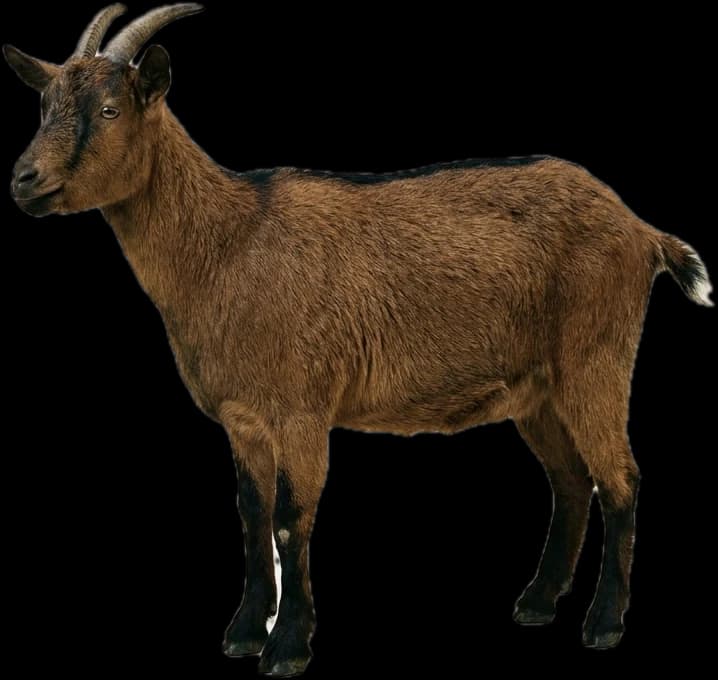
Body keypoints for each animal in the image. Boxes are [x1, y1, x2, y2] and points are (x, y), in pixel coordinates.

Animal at [4, 3, 713, 676]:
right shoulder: (243, 418)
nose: (23, 180)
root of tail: (641, 230)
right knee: (570, 480)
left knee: (620, 478)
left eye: (109, 109)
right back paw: (538, 603)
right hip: (537, 390)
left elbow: (291, 520)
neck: (230, 243)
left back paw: (604, 622)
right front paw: (244, 632)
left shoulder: (302, 409)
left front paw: (287, 646)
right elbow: (251, 513)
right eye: (43, 105)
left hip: (596, 358)